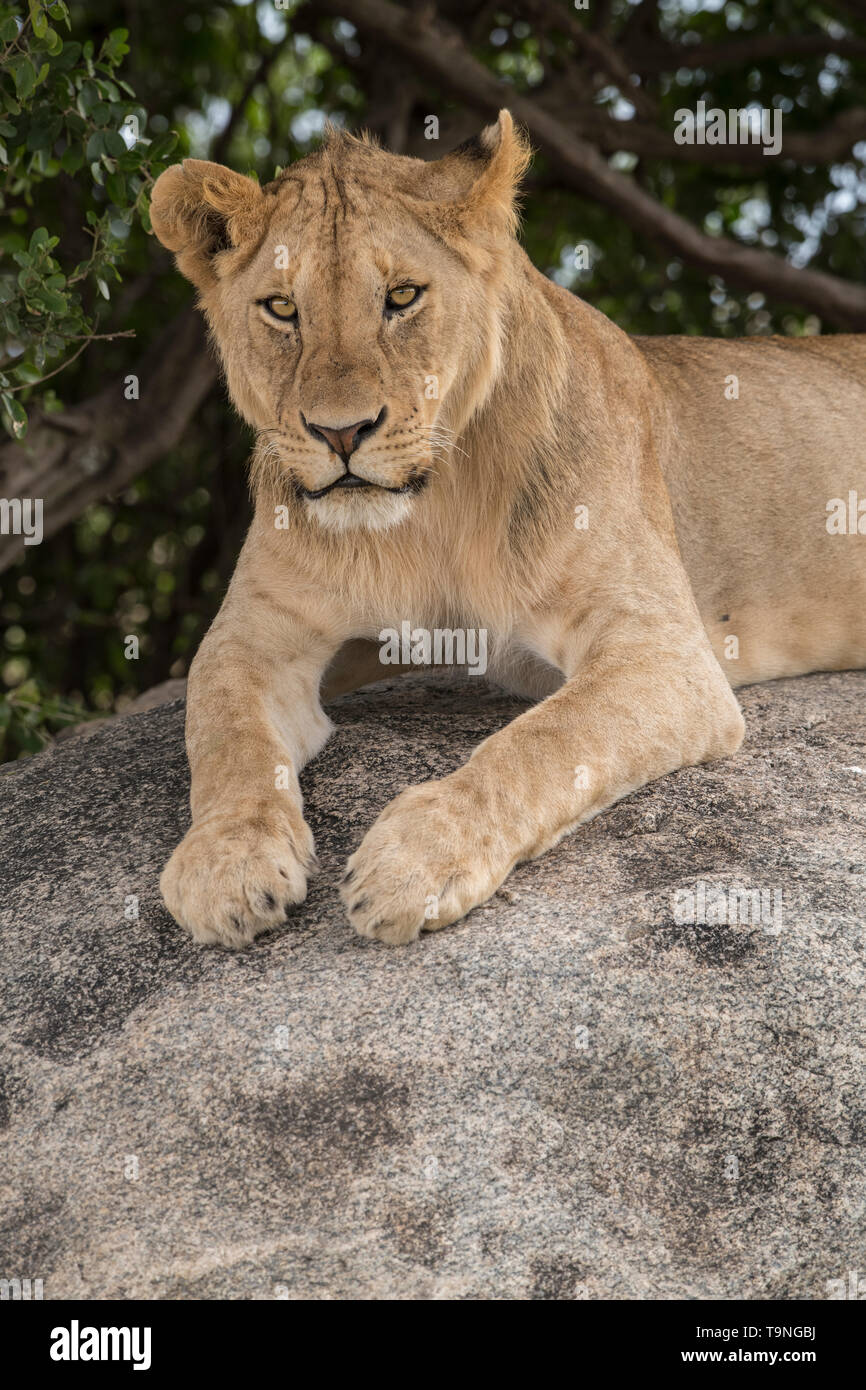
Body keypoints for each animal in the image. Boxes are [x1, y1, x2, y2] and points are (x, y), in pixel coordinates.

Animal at [150, 111, 866, 948]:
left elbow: (543, 742)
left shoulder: (666, 655)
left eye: (401, 296)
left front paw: (416, 856)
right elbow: (226, 733)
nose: (341, 432)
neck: (426, 518)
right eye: (281, 309)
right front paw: (228, 863)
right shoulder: (260, 633)